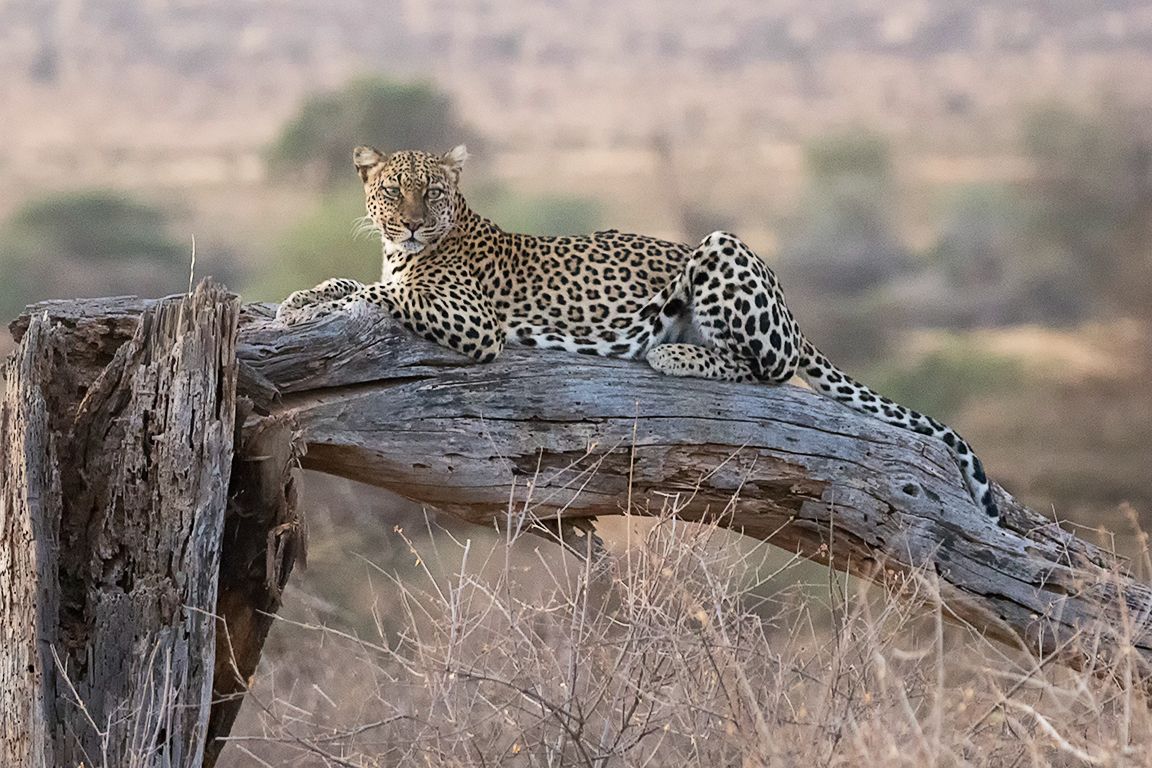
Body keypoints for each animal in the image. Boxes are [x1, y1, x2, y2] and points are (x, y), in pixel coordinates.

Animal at [276, 144, 999, 518]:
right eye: (392, 190)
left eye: (431, 191)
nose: (411, 225)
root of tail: (794, 314)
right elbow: (361, 282)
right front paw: (307, 295)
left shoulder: (472, 320)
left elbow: (379, 292)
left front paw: (305, 303)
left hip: (721, 247)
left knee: (765, 369)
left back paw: (673, 353)